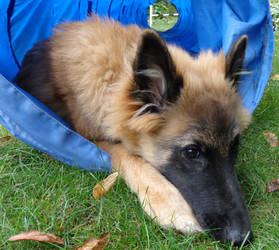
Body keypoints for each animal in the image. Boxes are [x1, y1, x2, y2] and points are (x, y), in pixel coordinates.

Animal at [13, 16, 254, 245]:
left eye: (235, 146)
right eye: (192, 152)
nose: (242, 237)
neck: (114, 76)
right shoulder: (89, 136)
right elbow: (127, 156)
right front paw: (169, 203)